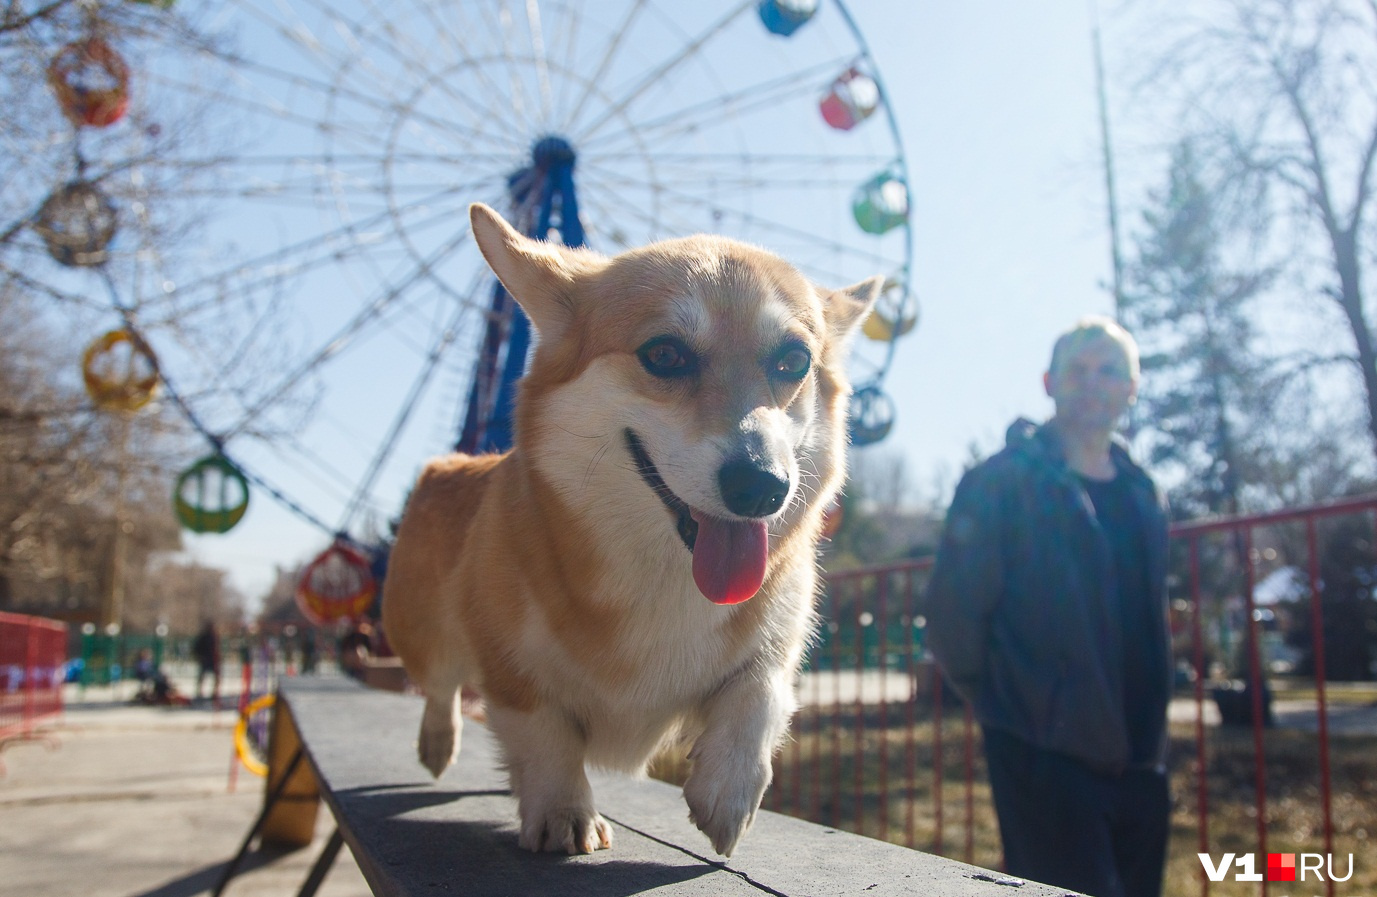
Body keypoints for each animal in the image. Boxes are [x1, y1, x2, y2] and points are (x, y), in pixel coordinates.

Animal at [382, 203, 875, 854]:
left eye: (793, 360)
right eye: (664, 355)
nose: (761, 488)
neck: (663, 574)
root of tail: (455, 463)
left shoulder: (777, 643)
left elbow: (760, 695)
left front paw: (729, 792)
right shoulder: (511, 670)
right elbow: (545, 736)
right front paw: (564, 812)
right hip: (424, 636)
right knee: (440, 690)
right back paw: (438, 746)